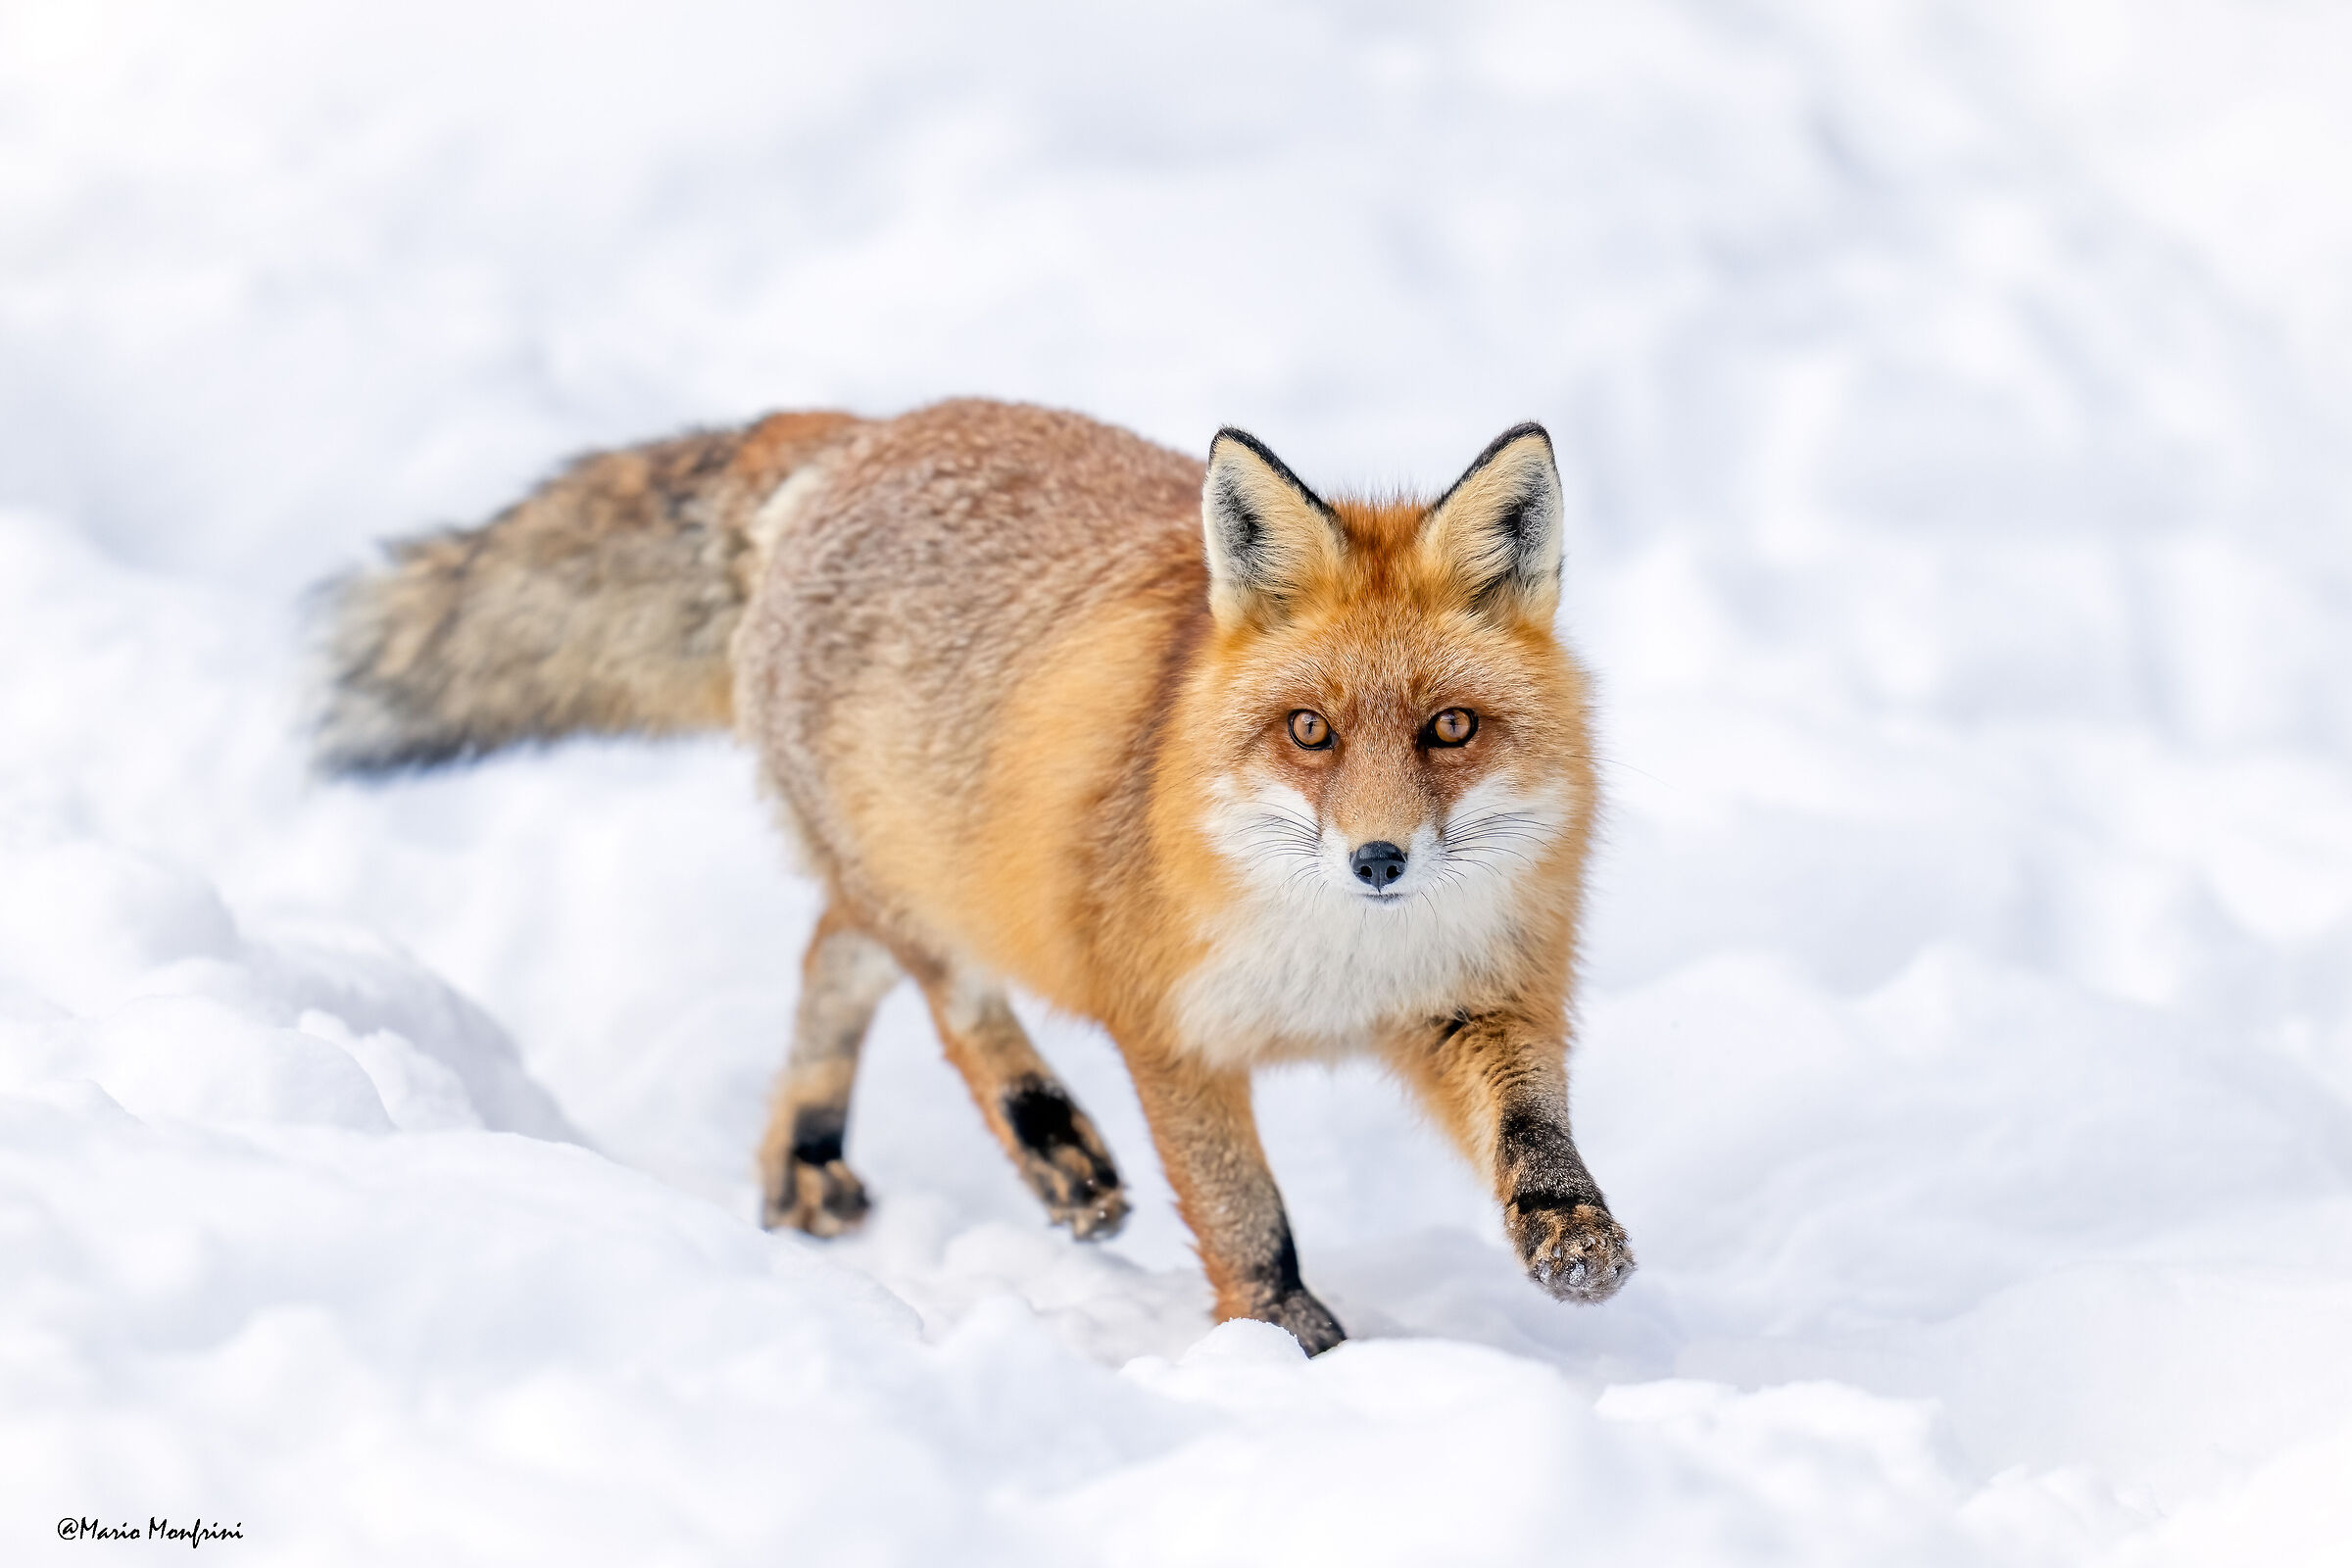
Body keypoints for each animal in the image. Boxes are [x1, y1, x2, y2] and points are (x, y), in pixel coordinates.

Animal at [313, 399, 1633, 1352]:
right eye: (1309, 732)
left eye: (1451, 729)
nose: (1377, 857)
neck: (1346, 966)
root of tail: (859, 433)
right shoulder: (1172, 1035)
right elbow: (1245, 1218)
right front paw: (1288, 1348)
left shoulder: (1483, 998)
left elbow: (1535, 1132)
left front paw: (1569, 1231)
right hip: (940, 897)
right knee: (943, 996)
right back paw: (1048, 1141)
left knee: (831, 953)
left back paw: (805, 1158)